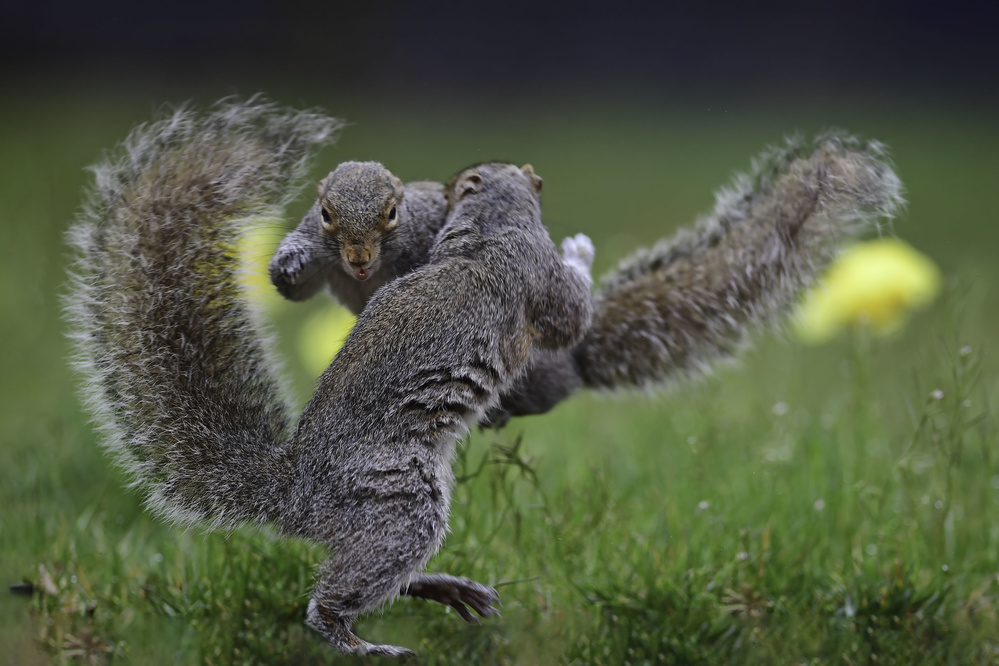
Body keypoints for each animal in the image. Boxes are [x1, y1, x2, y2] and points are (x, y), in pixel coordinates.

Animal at [68, 101, 592, 656]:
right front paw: (581, 251)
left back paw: (442, 588)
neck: (489, 226)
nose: (446, 189)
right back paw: (359, 642)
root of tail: (294, 496)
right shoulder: (539, 276)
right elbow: (573, 315)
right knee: (337, 596)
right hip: (400, 500)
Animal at [272, 134, 908, 426]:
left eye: (392, 213)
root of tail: (575, 363)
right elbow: (300, 281)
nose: (358, 258)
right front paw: (288, 266)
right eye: (325, 212)